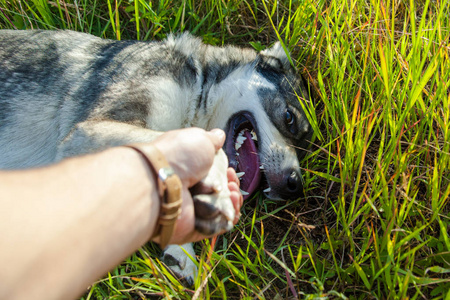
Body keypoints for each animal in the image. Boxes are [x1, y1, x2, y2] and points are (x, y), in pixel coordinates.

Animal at [0, 29, 312, 284]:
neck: (196, 87)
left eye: (304, 143)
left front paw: (180, 249)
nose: (295, 185)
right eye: (290, 119)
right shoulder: (88, 132)